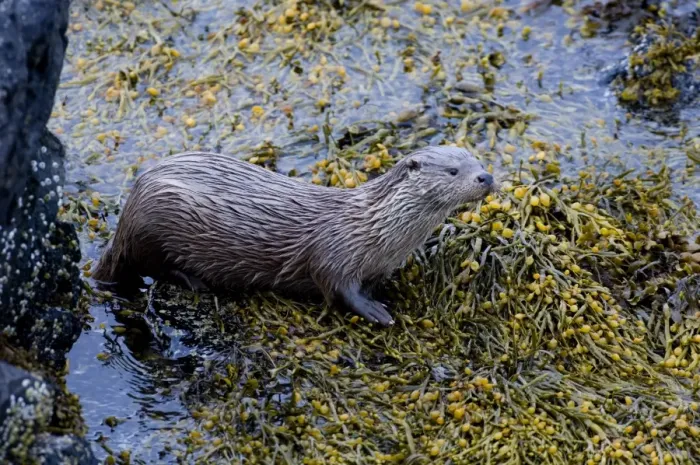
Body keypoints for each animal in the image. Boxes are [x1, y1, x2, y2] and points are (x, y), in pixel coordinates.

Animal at [92, 146, 495, 326]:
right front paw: (377, 312)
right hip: (154, 220)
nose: (487, 177)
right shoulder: (336, 253)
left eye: (479, 161)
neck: (376, 230)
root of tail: (128, 210)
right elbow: (340, 290)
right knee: (151, 267)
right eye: (453, 170)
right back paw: (194, 281)